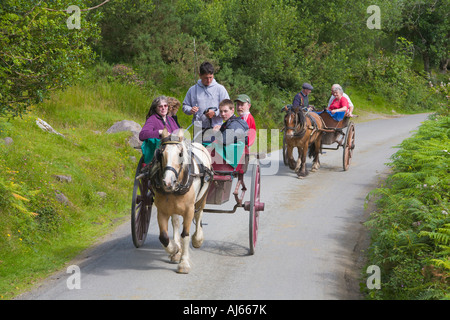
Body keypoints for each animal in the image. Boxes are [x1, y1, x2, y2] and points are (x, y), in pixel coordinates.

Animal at [150, 127, 214, 272]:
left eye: (180, 154)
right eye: (161, 154)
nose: (168, 182)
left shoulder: (189, 210)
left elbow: (185, 235)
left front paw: (184, 263)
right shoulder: (162, 211)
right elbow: (164, 237)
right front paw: (175, 250)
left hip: (202, 198)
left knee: (199, 215)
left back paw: (197, 239)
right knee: (175, 223)